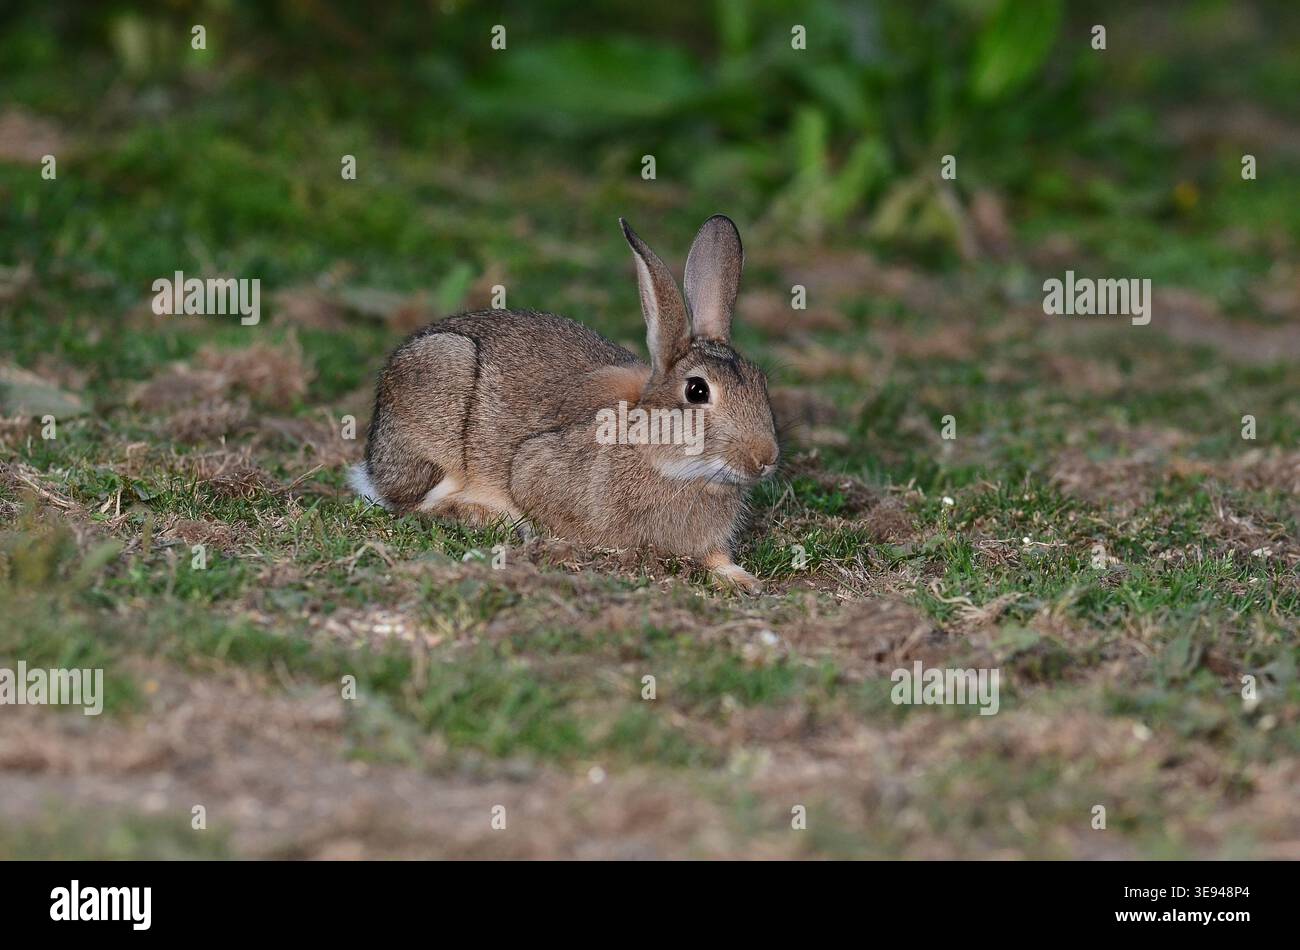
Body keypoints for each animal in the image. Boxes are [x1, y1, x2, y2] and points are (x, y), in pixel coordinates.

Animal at [350, 214, 779, 593]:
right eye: (697, 391)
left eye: (761, 382)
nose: (766, 457)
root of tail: (374, 461)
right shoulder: (537, 467)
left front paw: (744, 581)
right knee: (408, 502)